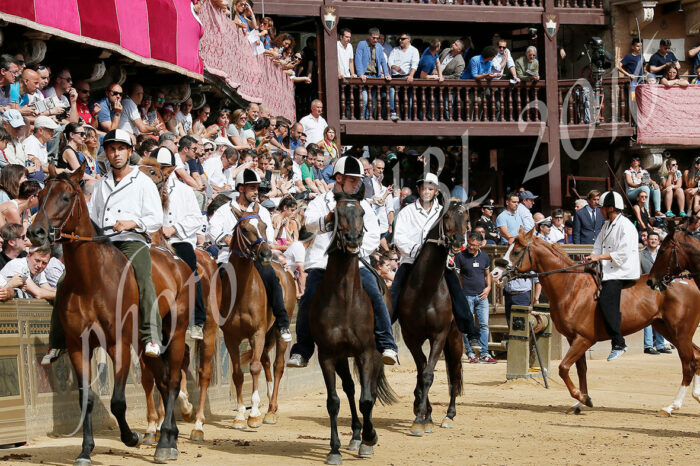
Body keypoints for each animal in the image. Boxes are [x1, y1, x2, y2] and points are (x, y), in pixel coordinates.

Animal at [27, 164, 192, 464]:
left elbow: (117, 401)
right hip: (145, 345)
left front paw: (131, 437)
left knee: (173, 381)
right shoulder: (78, 345)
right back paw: (169, 437)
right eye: (40, 195)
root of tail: (175, 261)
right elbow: (86, 399)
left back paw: (165, 441)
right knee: (162, 381)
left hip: (174, 333)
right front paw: (85, 450)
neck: (91, 280)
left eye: (66, 197)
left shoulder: (119, 345)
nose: (36, 232)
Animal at [310, 190, 397, 465]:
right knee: (348, 388)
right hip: (341, 357)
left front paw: (371, 438)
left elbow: (367, 400)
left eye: (362, 212)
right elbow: (333, 401)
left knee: (366, 391)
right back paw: (356, 435)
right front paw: (335, 449)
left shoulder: (366, 353)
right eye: (336, 213)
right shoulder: (328, 355)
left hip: (373, 354)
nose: (352, 239)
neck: (345, 299)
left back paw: (364, 437)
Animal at [396, 199, 466, 436]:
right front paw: (423, 417)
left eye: (466, 217)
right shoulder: (411, 337)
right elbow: (421, 374)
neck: (426, 289)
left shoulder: (439, 335)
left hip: (455, 339)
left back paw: (449, 416)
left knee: (455, 373)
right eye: (446, 217)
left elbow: (428, 374)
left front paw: (421, 418)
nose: (459, 241)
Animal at [492, 228, 700, 416]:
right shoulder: (573, 339)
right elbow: (580, 369)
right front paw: (581, 401)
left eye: (516, 251)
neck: (572, 288)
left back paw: (672, 406)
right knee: (696, 357)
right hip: (668, 330)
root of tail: (687, 281)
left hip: (680, 333)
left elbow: (563, 368)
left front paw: (582, 398)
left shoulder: (583, 339)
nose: (495, 273)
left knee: (689, 364)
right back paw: (695, 396)